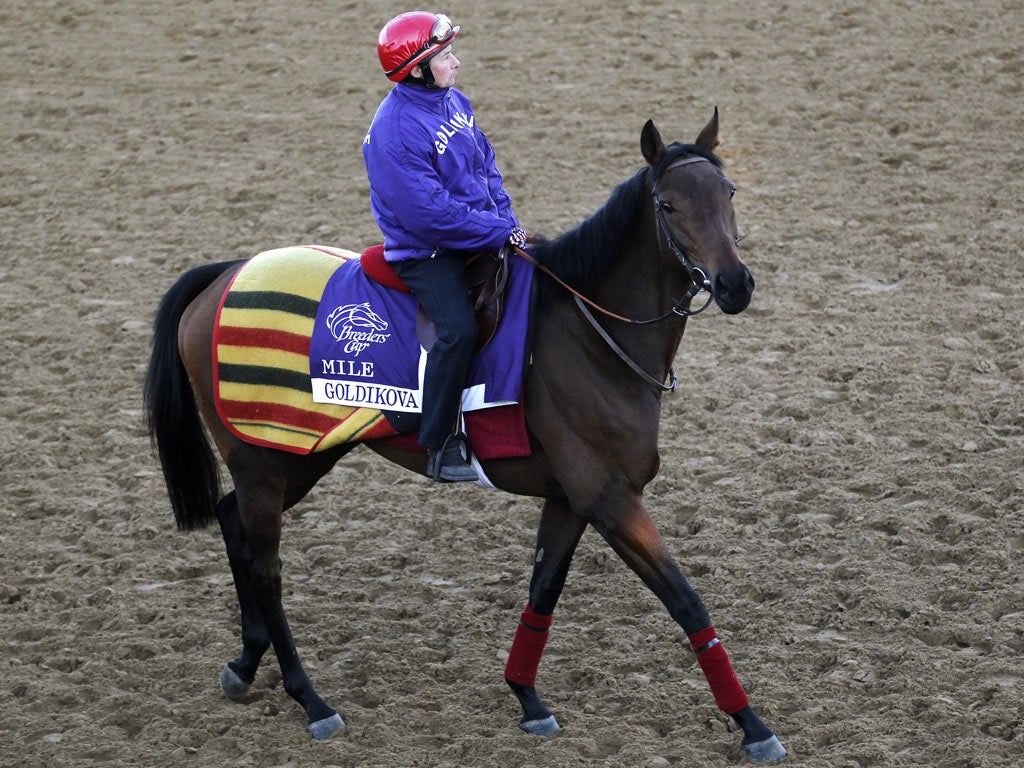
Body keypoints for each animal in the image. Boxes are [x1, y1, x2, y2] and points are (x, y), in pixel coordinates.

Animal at [142, 109, 782, 765]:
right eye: (668, 205)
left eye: (729, 193)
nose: (735, 284)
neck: (590, 334)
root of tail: (223, 276)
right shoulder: (610, 497)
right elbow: (685, 601)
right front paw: (752, 724)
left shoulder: (570, 498)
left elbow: (544, 589)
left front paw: (527, 697)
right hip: (267, 462)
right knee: (266, 569)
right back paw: (312, 701)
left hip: (295, 458)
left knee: (234, 527)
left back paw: (246, 663)